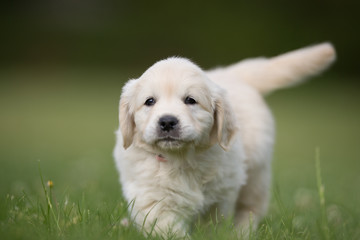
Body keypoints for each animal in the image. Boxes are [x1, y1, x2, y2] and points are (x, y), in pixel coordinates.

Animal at [114, 42, 336, 236]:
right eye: (149, 101)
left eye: (190, 100)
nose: (167, 121)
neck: (182, 159)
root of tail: (233, 74)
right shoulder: (152, 198)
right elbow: (167, 228)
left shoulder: (220, 197)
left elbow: (213, 225)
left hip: (256, 174)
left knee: (249, 209)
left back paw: (242, 233)